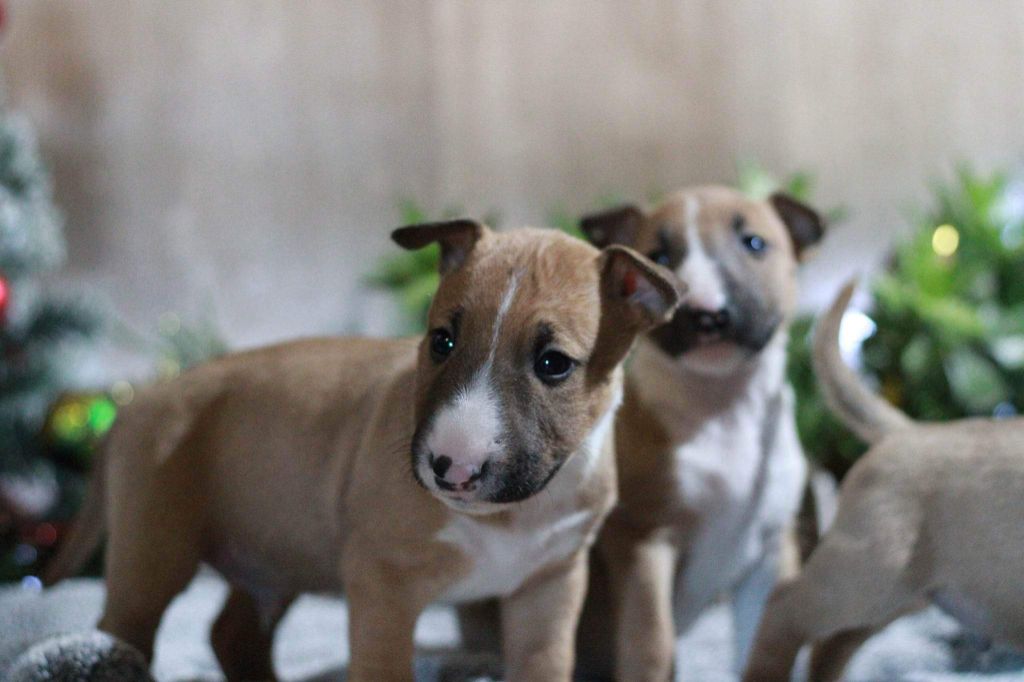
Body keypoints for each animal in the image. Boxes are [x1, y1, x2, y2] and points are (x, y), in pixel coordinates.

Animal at [44, 220, 682, 682]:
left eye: (554, 364)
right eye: (441, 341)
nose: (452, 468)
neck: (510, 516)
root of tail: (140, 401)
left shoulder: (550, 586)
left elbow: (545, 666)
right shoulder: (383, 585)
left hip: (274, 549)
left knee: (233, 633)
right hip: (154, 548)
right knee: (121, 629)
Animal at [575, 185, 826, 680]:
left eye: (754, 243)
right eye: (658, 255)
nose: (707, 315)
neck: (722, 411)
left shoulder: (772, 549)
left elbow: (763, 646)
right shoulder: (643, 539)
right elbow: (651, 641)